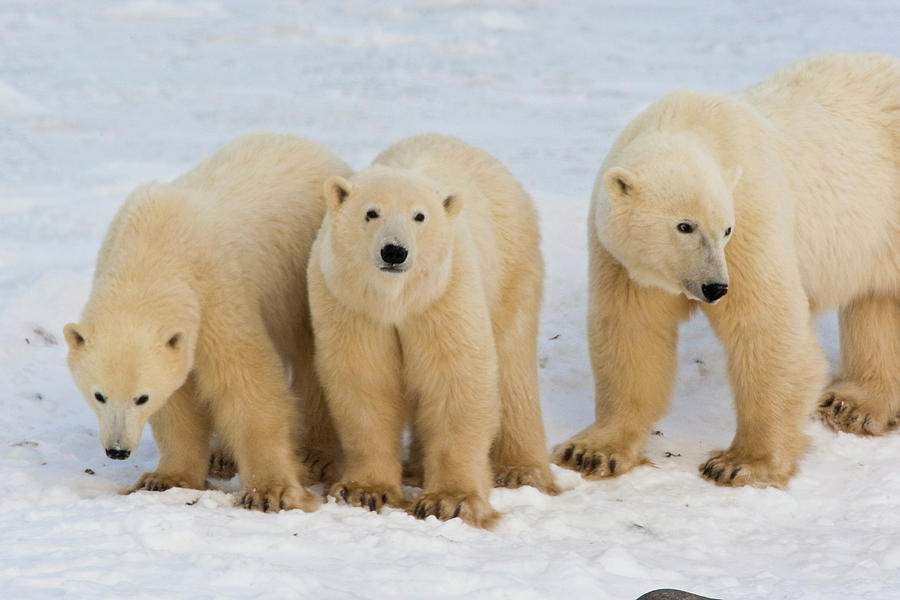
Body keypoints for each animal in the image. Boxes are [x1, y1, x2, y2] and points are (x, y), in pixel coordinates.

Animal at [63, 132, 350, 510]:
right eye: (99, 395)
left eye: (141, 398)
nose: (117, 451)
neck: (150, 250)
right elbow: (178, 400)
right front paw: (164, 478)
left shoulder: (216, 293)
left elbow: (246, 381)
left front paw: (271, 492)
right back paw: (222, 456)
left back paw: (317, 455)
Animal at [312, 134, 560, 528]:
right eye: (371, 212)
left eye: (419, 216)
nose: (394, 251)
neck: (396, 299)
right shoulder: (351, 305)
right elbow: (366, 380)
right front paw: (364, 490)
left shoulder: (444, 293)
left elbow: (454, 378)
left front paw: (450, 501)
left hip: (512, 264)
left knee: (512, 362)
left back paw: (521, 470)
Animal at [552, 52, 900, 488]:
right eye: (684, 226)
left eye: (725, 229)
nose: (715, 288)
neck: (689, 124)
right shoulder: (623, 261)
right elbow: (632, 331)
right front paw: (591, 452)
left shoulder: (750, 220)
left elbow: (764, 326)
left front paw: (739, 463)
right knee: (875, 303)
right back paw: (851, 404)